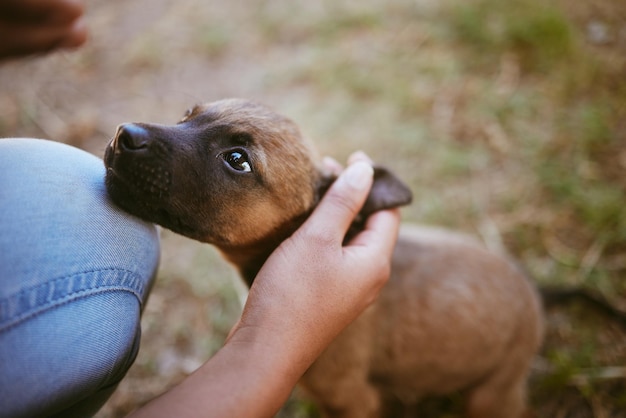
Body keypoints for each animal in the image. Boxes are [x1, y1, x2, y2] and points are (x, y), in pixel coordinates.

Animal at [102, 99, 540, 418]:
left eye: (238, 160)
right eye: (188, 115)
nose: (125, 135)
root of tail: (533, 294)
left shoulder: (354, 401)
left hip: (492, 395)